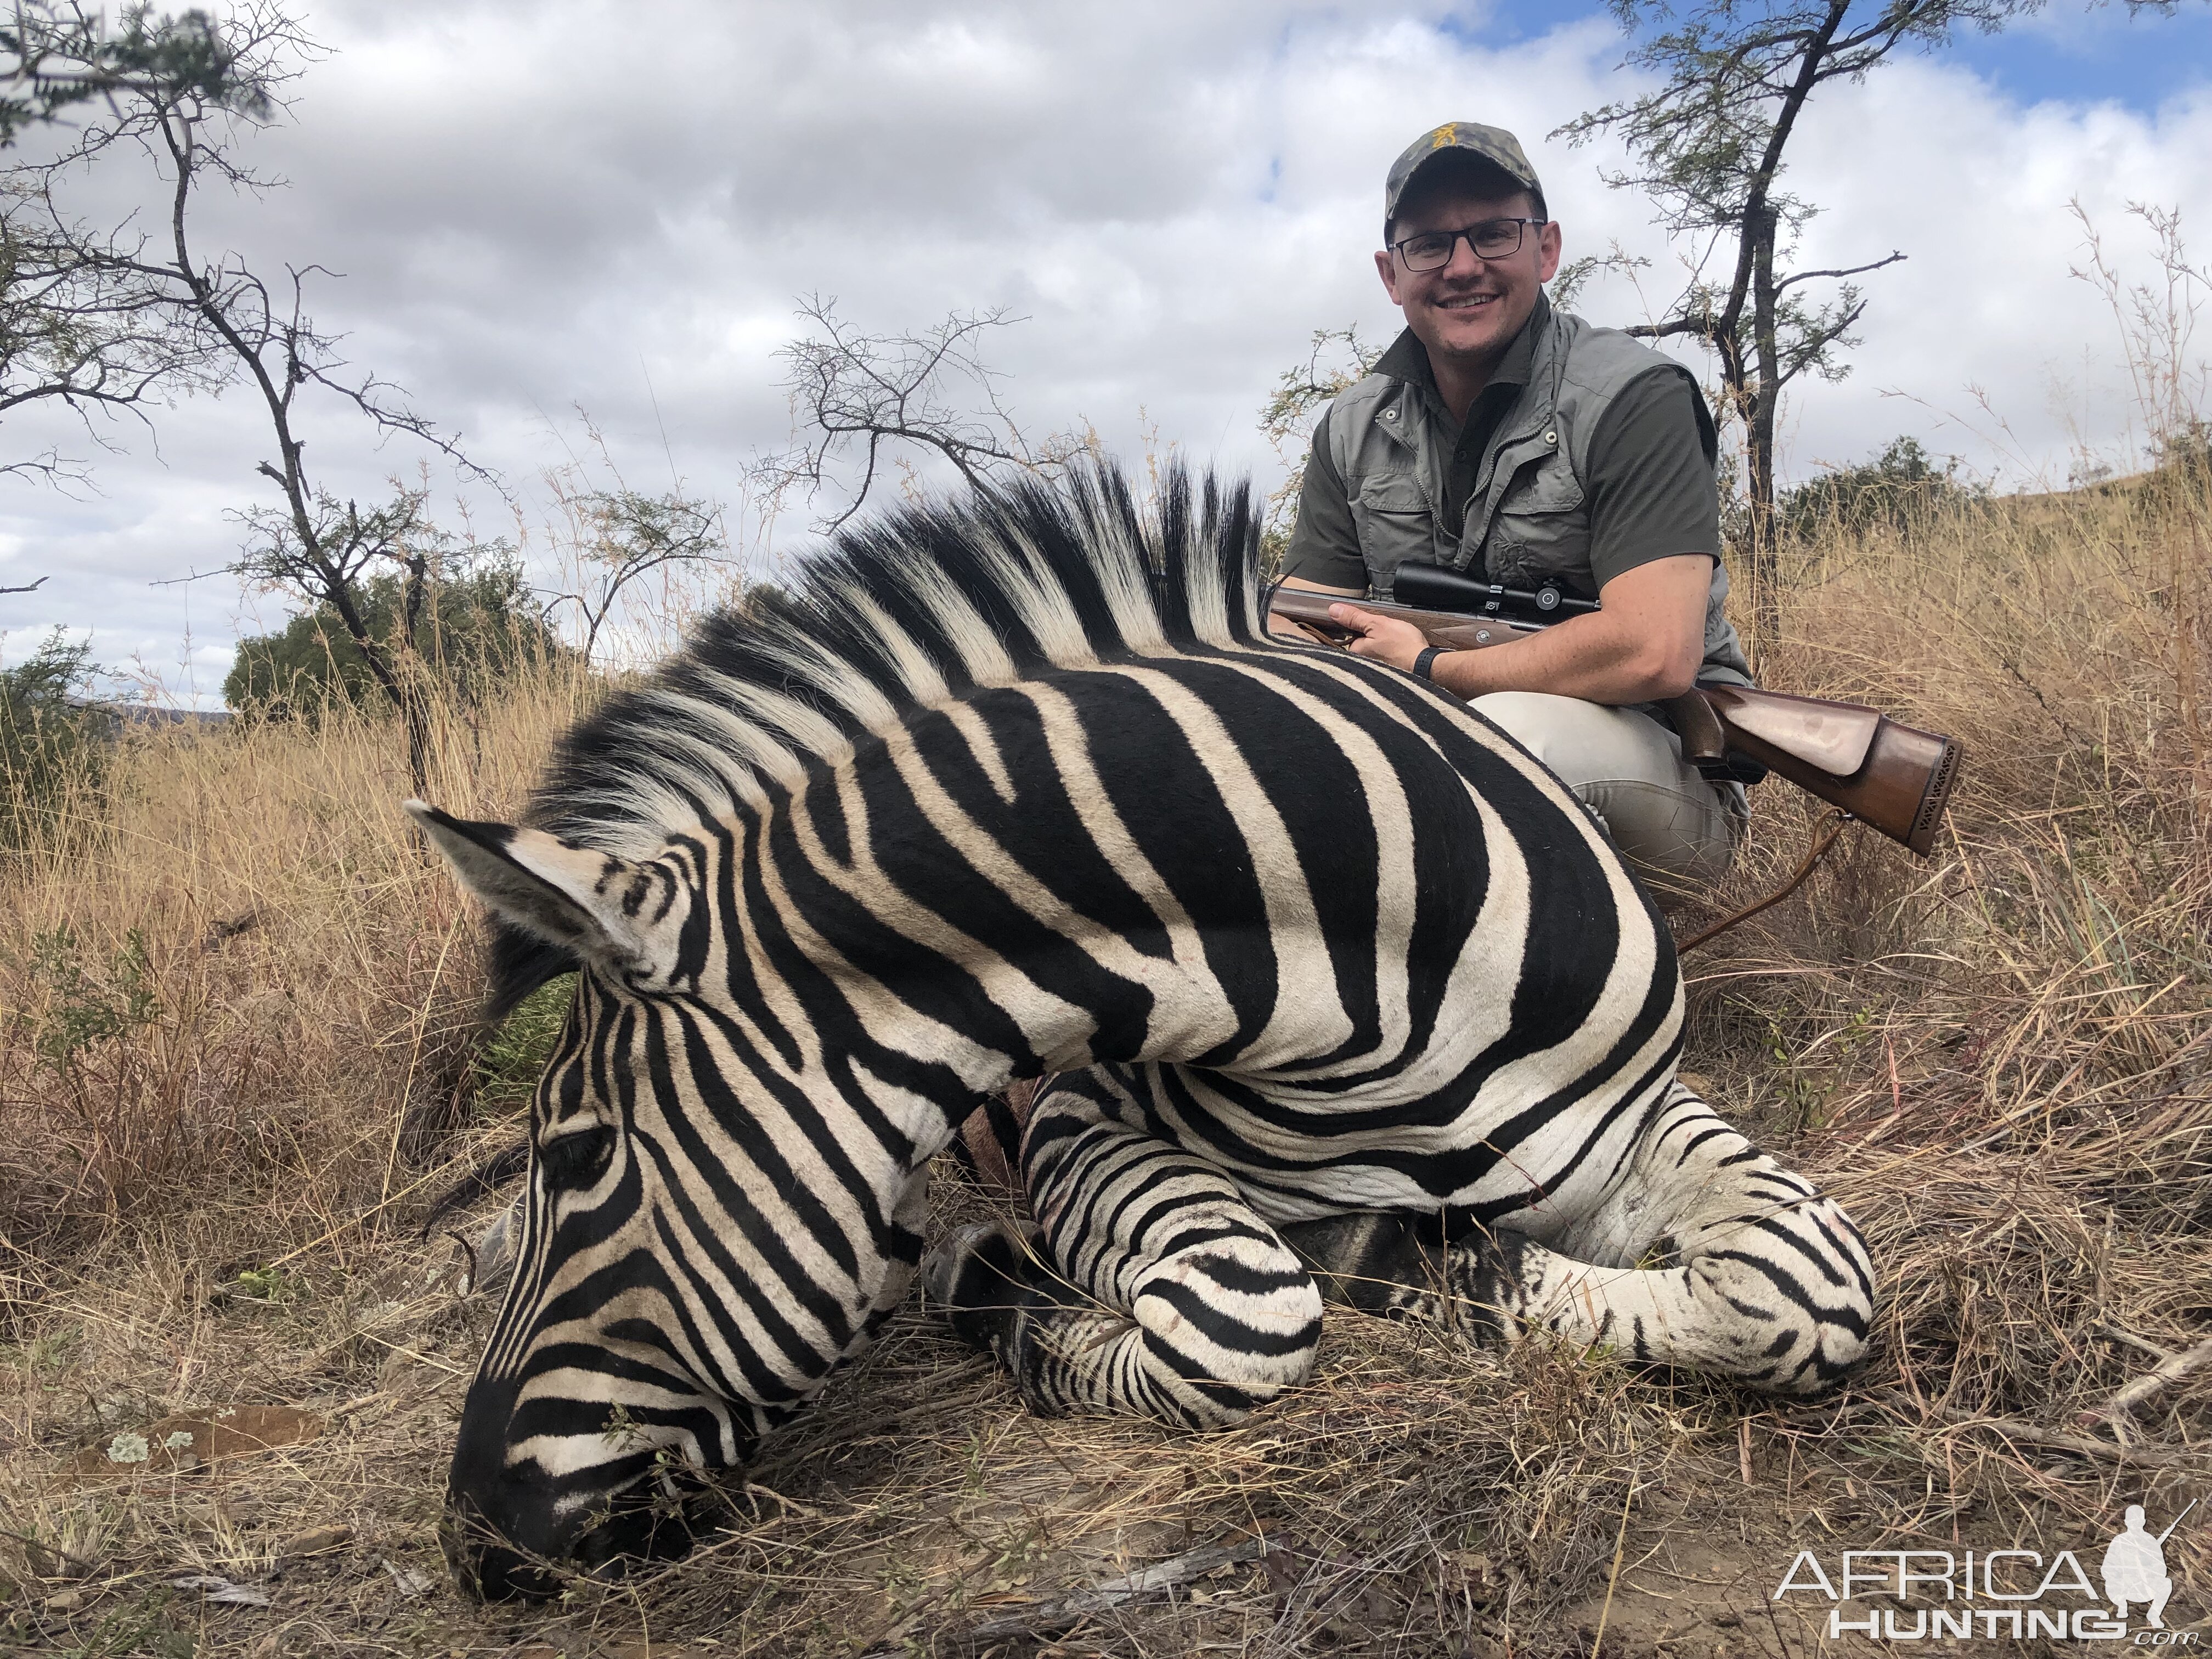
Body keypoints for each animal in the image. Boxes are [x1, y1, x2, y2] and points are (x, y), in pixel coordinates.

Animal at [411, 469, 1867, 1601]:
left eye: (583, 1158)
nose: (473, 1549)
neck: (1386, 991)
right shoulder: (1078, 1119)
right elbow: (1238, 1312)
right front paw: (1011, 1284)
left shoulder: (1631, 1118)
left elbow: (1805, 1285)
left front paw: (1420, 1259)